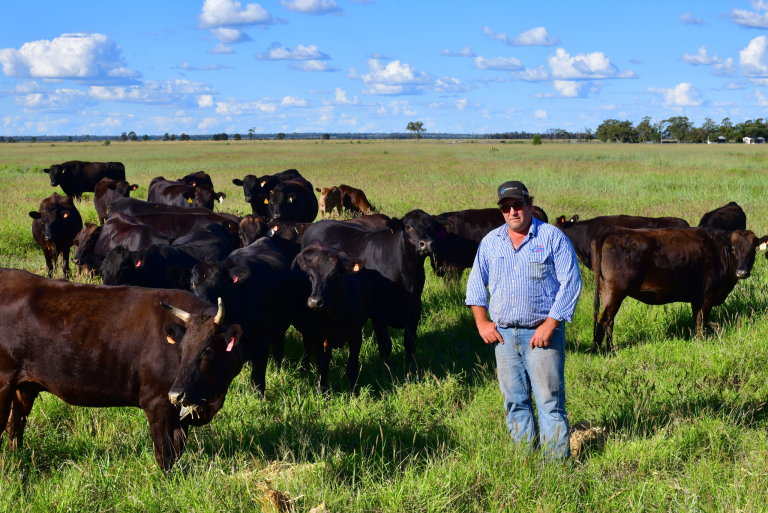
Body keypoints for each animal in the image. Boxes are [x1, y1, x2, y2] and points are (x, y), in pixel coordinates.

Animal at [0, 268, 243, 472]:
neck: (212, 396)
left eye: (207, 350)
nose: (177, 394)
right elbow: (165, 454)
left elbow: (178, 447)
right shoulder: (157, 402)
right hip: (4, 384)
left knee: (15, 427)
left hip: (24, 387)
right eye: (181, 349)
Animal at [592, 228, 764, 352]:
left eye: (752, 250)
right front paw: (701, 344)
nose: (741, 272)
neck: (718, 251)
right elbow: (701, 322)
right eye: (734, 249)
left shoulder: (697, 299)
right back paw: (599, 351)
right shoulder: (707, 296)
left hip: (607, 293)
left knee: (609, 322)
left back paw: (611, 349)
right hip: (615, 293)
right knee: (604, 320)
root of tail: (613, 231)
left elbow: (697, 321)